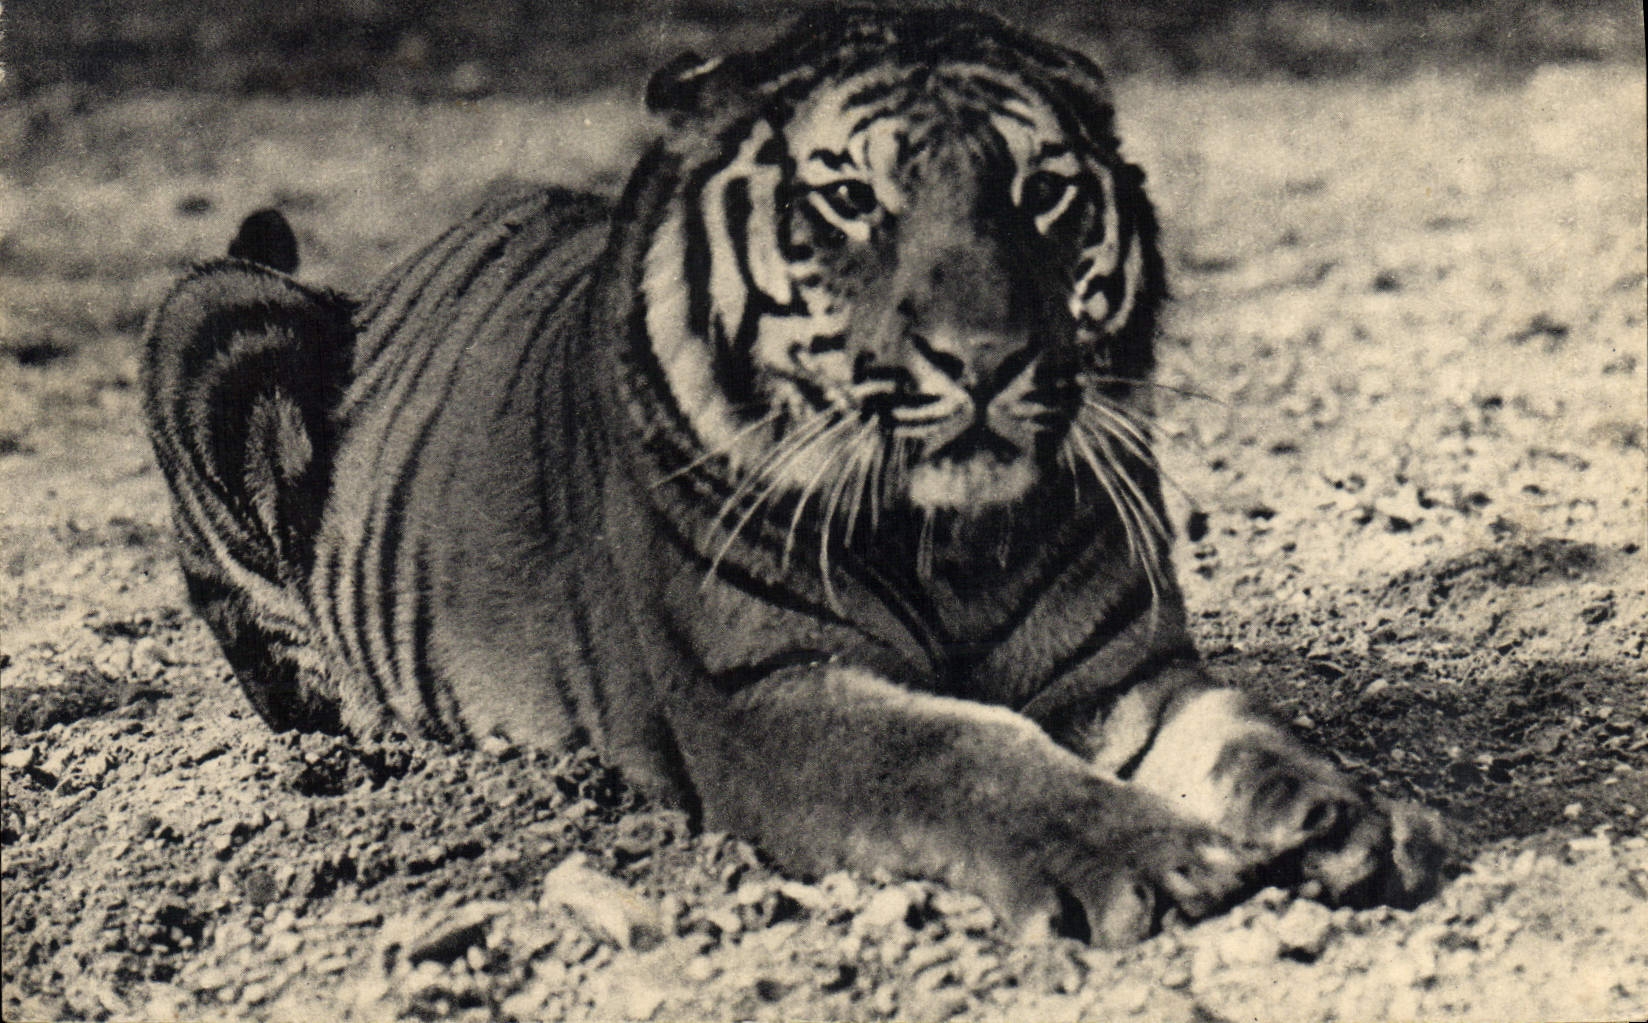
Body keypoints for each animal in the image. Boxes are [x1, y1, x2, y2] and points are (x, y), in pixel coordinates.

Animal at [143, 7, 1443, 944]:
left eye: (1041, 193)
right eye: (853, 199)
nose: (985, 358)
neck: (952, 540)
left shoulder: (1123, 673)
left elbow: (1250, 735)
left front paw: (1353, 818)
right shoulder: (764, 695)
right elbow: (964, 756)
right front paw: (1154, 864)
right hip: (214, 316)